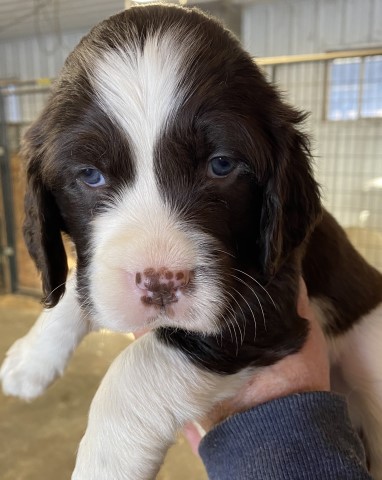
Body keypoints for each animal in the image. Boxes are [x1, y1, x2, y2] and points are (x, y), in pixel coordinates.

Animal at [0, 4, 382, 480]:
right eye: (89, 175)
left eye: (221, 165)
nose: (161, 282)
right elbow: (78, 285)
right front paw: (30, 359)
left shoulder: (268, 298)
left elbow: (139, 365)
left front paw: (104, 463)